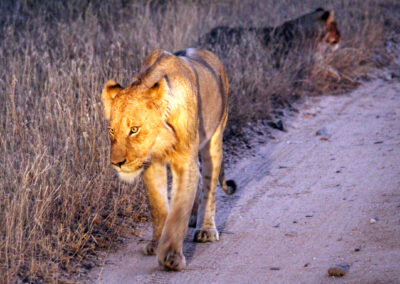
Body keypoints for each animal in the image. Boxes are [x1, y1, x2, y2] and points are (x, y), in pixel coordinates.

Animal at [101, 47, 236, 270]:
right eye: (112, 131)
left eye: (134, 129)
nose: (117, 163)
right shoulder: (151, 164)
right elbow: (158, 206)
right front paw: (156, 244)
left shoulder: (185, 161)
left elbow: (177, 212)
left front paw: (171, 256)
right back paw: (194, 217)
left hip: (215, 137)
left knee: (209, 184)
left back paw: (205, 229)